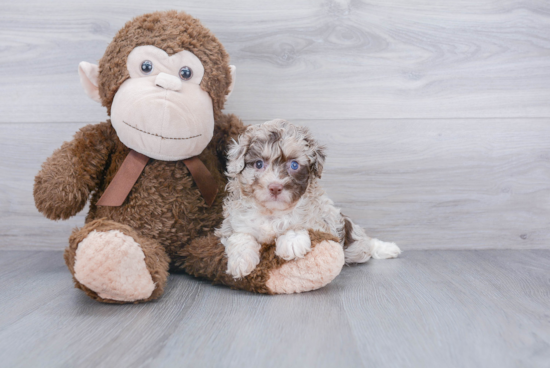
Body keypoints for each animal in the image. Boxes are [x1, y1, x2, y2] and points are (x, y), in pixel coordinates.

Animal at [218, 119, 404, 278]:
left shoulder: (321, 220)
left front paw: (292, 241)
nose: (275, 187)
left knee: (368, 243)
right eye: (258, 164)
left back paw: (388, 248)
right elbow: (241, 235)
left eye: (294, 165)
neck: (273, 212)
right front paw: (241, 261)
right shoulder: (231, 224)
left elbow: (298, 221)